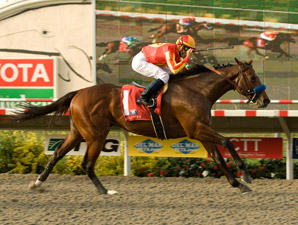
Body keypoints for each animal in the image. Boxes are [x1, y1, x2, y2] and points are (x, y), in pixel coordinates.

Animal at [11, 58, 270, 195]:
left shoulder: (201, 131)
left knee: (56, 153)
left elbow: (218, 158)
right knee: (87, 163)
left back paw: (37, 182)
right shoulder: (196, 129)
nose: (265, 100)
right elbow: (228, 141)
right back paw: (105, 191)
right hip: (96, 134)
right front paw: (246, 175)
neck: (198, 91)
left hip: (78, 132)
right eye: (253, 78)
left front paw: (238, 184)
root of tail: (79, 92)